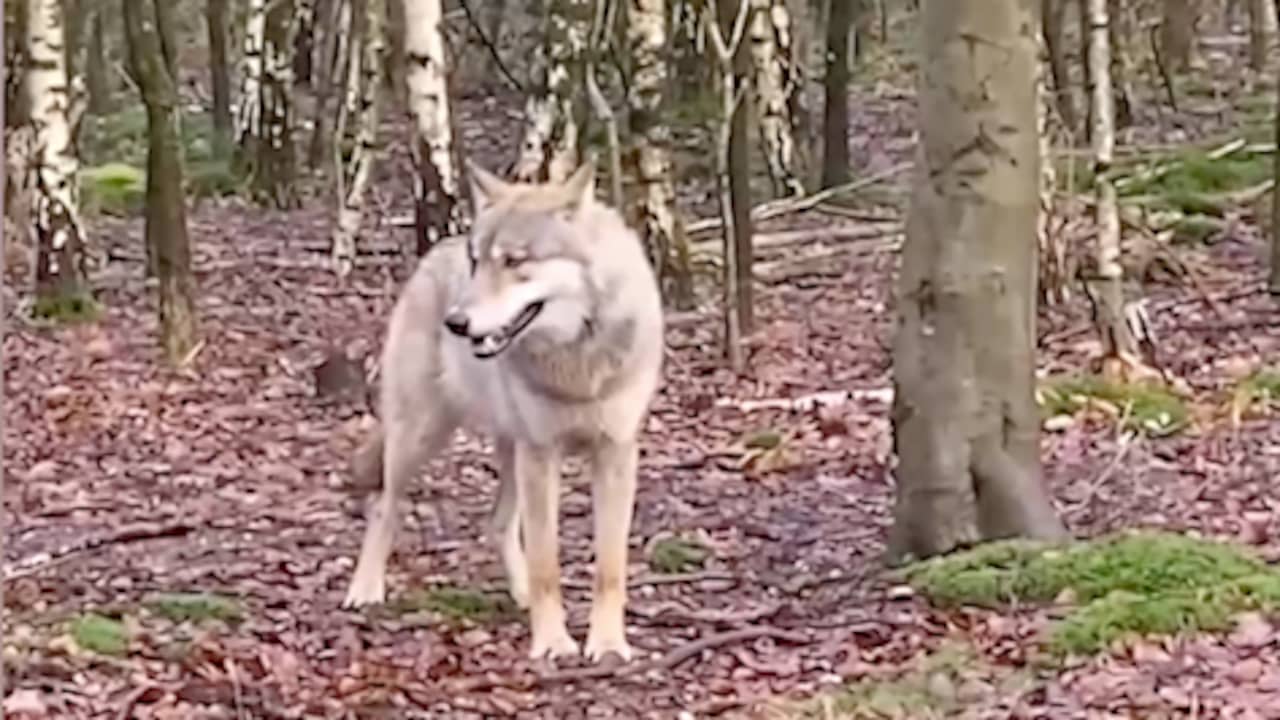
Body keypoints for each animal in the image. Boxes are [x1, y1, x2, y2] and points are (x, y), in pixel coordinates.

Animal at [340, 158, 665, 661]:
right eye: (478, 263)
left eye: (514, 262)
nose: (455, 322)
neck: (576, 360)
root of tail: (434, 253)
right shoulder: (542, 452)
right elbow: (547, 564)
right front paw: (553, 643)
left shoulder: (615, 452)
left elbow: (609, 567)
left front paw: (608, 643)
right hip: (422, 436)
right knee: (384, 507)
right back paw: (365, 589)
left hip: (511, 451)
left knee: (497, 523)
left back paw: (520, 595)